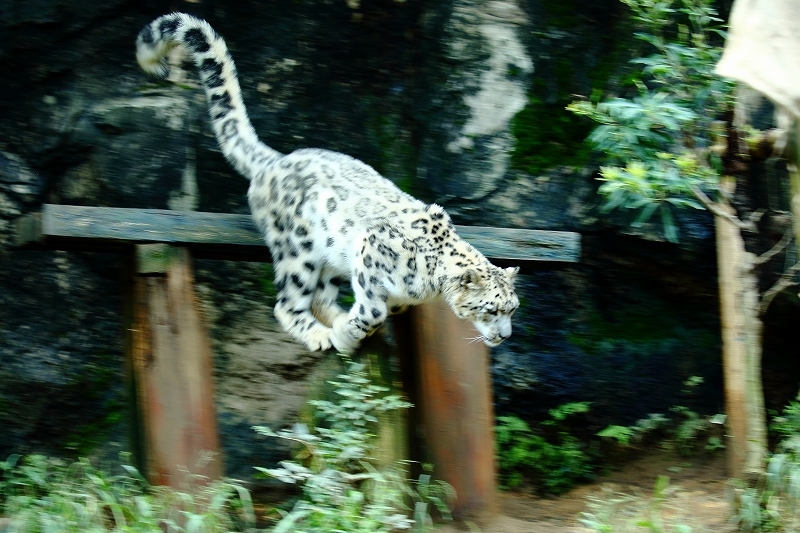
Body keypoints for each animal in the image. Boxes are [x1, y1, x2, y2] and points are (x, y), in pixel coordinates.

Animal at [134, 11, 520, 354]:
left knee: (321, 294)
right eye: (490, 308)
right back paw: (320, 334)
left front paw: (349, 327)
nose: (505, 336)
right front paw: (348, 335)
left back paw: (334, 319)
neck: (428, 284)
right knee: (288, 301)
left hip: (333, 255)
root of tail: (278, 159)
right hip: (297, 250)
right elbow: (374, 310)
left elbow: (386, 308)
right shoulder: (370, 252)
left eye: (512, 308)